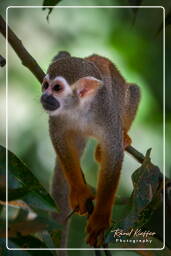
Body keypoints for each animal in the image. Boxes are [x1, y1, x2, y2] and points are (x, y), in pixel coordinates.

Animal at [40, 51, 140, 246]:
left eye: (57, 88)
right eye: (45, 85)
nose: (45, 97)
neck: (79, 108)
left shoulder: (106, 112)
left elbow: (113, 153)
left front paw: (100, 218)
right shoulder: (57, 118)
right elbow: (59, 140)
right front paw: (79, 192)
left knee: (133, 91)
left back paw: (119, 138)